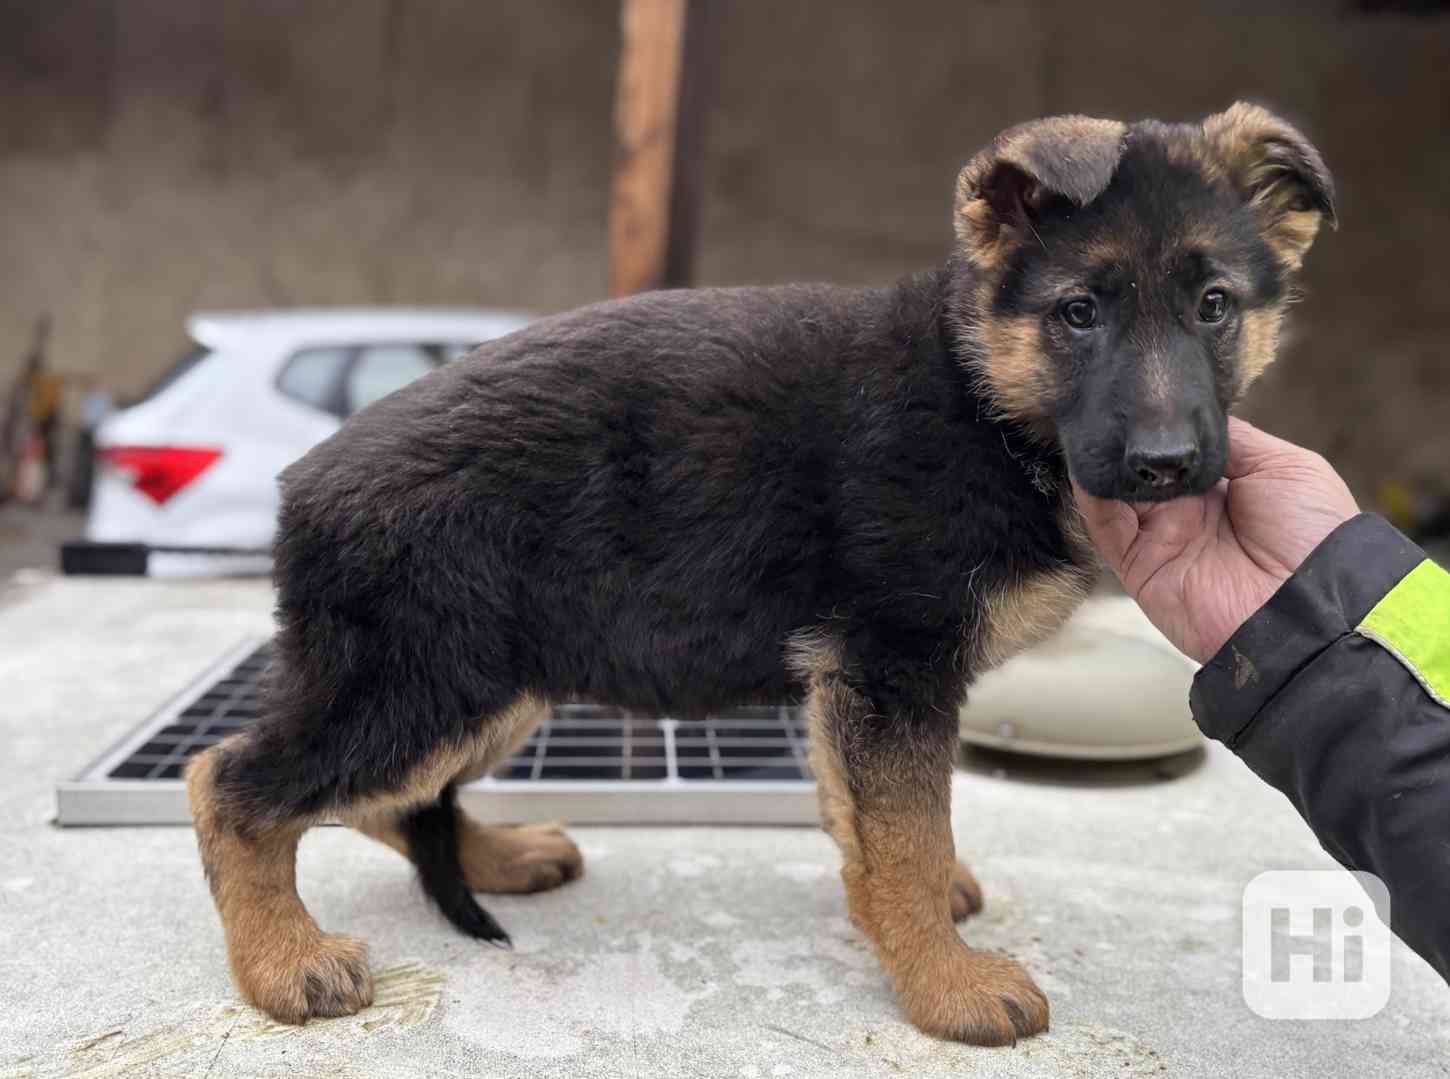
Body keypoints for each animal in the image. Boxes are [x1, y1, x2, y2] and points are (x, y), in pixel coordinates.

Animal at [187, 105, 1328, 1038]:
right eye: (1078, 312)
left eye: (1214, 305)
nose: (1165, 466)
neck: (984, 396)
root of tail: (303, 482)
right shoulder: (890, 666)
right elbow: (906, 831)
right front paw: (945, 982)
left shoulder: (848, 680)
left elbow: (862, 813)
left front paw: (903, 916)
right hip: (425, 680)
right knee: (232, 782)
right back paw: (283, 962)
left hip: (493, 685)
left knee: (388, 800)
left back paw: (494, 856)